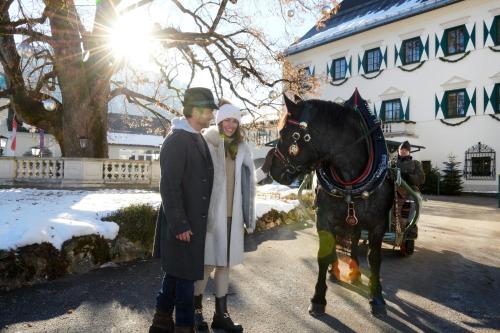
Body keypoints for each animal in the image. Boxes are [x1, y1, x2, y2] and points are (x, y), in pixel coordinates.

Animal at [270, 94, 394, 316]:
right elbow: (324, 254)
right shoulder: (324, 218)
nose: (272, 171)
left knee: (354, 240)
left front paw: (377, 297)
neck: (350, 179)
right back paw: (335, 270)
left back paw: (354, 271)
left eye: (284, 133)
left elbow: (374, 259)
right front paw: (318, 298)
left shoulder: (378, 224)